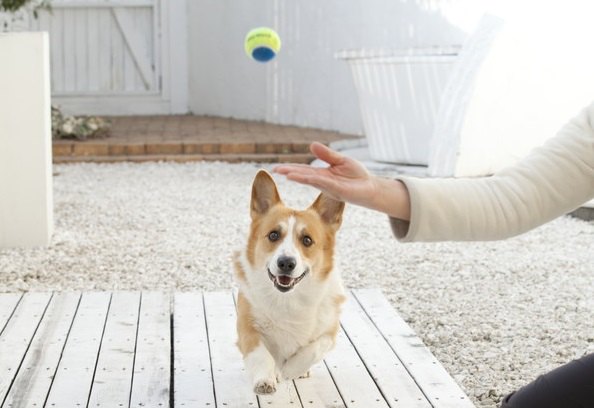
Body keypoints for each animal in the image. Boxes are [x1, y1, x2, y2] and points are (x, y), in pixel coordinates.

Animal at [231, 170, 342, 396]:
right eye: (273, 235)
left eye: (307, 240)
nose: (286, 263)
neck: (288, 298)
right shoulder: (247, 326)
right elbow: (261, 354)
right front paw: (265, 379)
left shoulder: (330, 330)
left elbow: (314, 348)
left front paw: (290, 370)